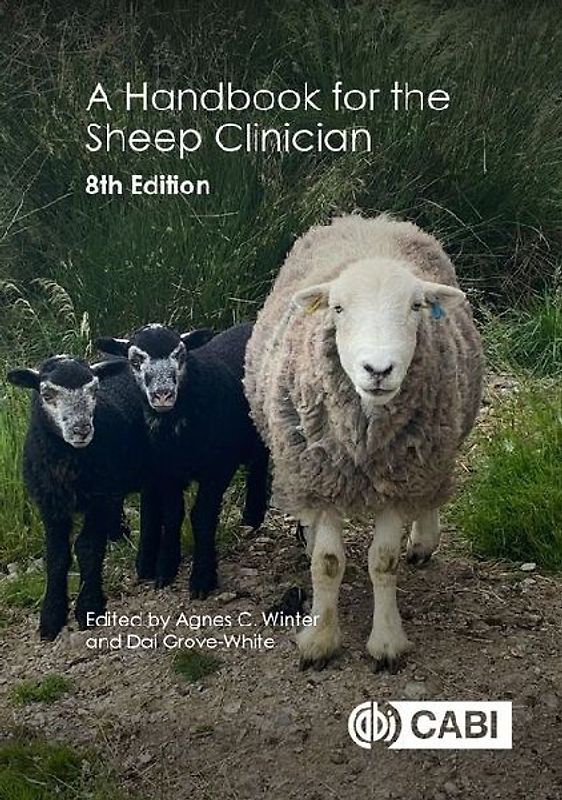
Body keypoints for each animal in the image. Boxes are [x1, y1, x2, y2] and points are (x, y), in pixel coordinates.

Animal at [7, 354, 157, 640]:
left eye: (95, 390)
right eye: (46, 393)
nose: (81, 430)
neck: (67, 461)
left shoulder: (100, 498)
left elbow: (87, 548)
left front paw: (89, 606)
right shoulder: (50, 505)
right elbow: (57, 556)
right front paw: (51, 616)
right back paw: (119, 534)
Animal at [96, 322, 269, 598]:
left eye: (180, 355)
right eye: (135, 360)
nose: (163, 395)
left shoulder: (218, 467)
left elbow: (202, 516)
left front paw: (202, 578)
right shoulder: (167, 473)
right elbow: (172, 515)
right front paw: (166, 569)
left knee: (260, 462)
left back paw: (253, 514)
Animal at [244, 213, 484, 671]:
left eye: (416, 306)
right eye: (338, 308)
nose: (378, 369)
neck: (364, 444)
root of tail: (371, 218)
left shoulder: (401, 476)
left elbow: (384, 562)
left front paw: (387, 641)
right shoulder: (321, 476)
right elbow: (327, 563)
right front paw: (319, 639)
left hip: (436, 446)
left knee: (430, 495)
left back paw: (423, 540)